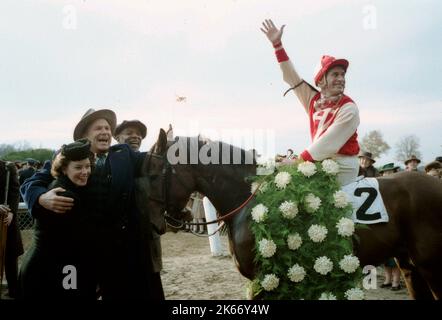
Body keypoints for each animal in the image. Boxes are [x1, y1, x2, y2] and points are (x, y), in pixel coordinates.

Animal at [143, 129, 442, 298]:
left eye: (154, 173)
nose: (155, 223)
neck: (248, 196)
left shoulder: (267, 281)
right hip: (409, 266)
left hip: (430, 265)